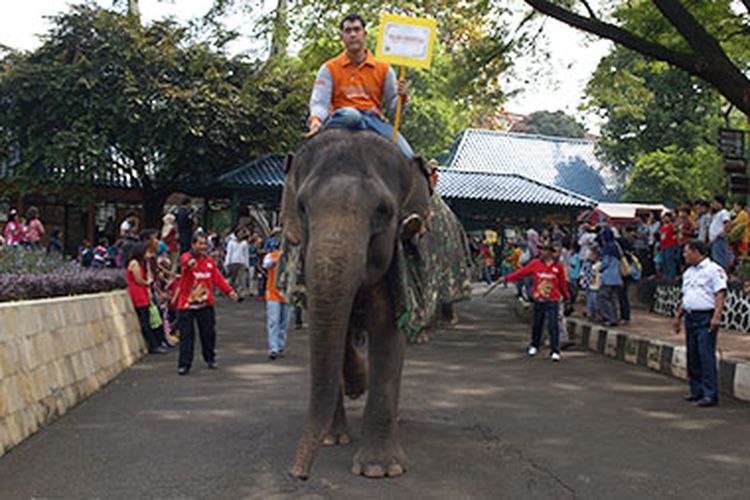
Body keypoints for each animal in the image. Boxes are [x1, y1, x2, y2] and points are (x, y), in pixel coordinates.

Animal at [282, 127, 434, 478]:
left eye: (383, 212)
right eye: (302, 208)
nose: (298, 474)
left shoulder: (392, 268)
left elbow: (387, 332)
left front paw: (380, 469)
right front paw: (333, 437)